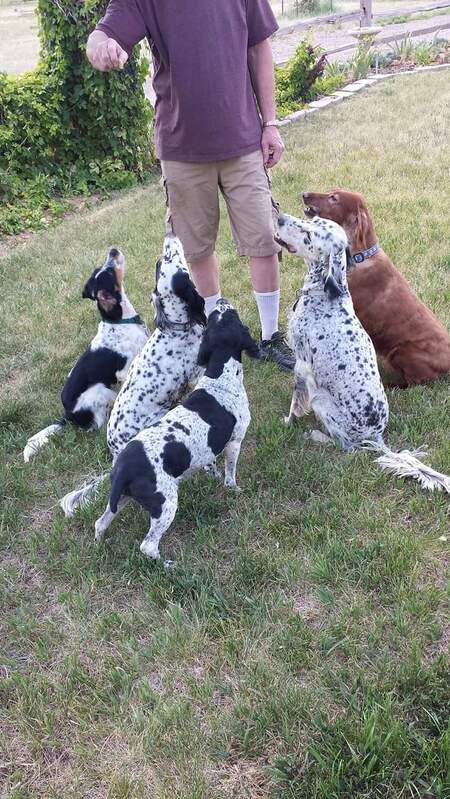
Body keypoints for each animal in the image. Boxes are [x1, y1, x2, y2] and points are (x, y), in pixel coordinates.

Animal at [23, 248, 148, 462]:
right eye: (109, 273)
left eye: (100, 269)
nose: (112, 250)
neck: (120, 321)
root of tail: (67, 416)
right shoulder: (124, 371)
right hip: (102, 392)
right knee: (97, 426)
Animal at [59, 234, 207, 516]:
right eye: (170, 259)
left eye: (161, 265)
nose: (170, 235)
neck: (178, 328)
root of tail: (116, 453)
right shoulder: (199, 373)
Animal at [93, 298, 258, 564]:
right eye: (229, 314)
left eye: (217, 316)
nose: (221, 301)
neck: (219, 379)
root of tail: (122, 467)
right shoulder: (235, 441)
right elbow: (230, 474)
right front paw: (234, 489)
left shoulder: (208, 452)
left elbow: (211, 466)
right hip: (166, 505)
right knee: (148, 546)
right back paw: (169, 564)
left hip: (121, 499)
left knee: (100, 523)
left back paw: (101, 545)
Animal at [278, 209, 450, 490]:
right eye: (311, 221)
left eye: (309, 234)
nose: (279, 217)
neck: (327, 295)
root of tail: (377, 437)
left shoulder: (302, 365)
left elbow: (295, 403)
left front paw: (288, 422)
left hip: (321, 399)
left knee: (348, 447)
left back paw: (316, 436)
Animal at [302, 188, 450, 388]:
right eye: (330, 191)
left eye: (334, 198)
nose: (304, 194)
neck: (358, 258)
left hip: (400, 352)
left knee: (415, 382)